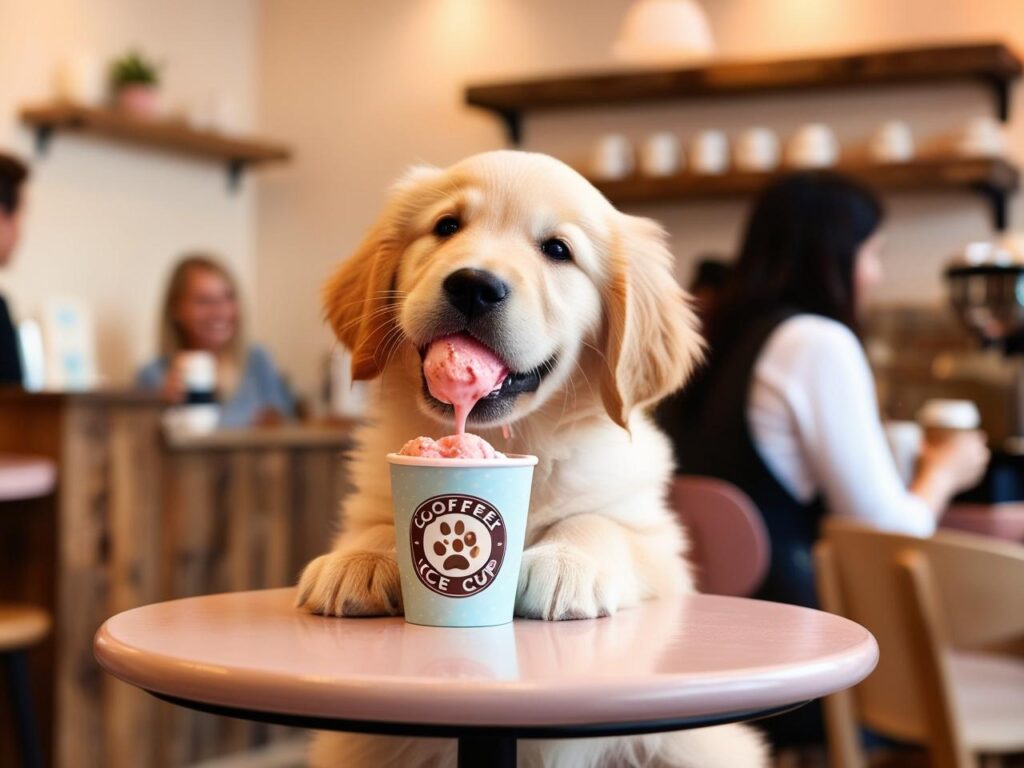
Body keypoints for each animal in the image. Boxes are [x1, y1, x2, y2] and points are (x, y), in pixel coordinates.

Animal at [296, 151, 770, 768]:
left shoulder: (660, 545)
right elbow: (378, 524)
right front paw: (358, 559)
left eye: (558, 250)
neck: (522, 440)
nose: (474, 285)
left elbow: (599, 521)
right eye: (446, 226)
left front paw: (566, 563)